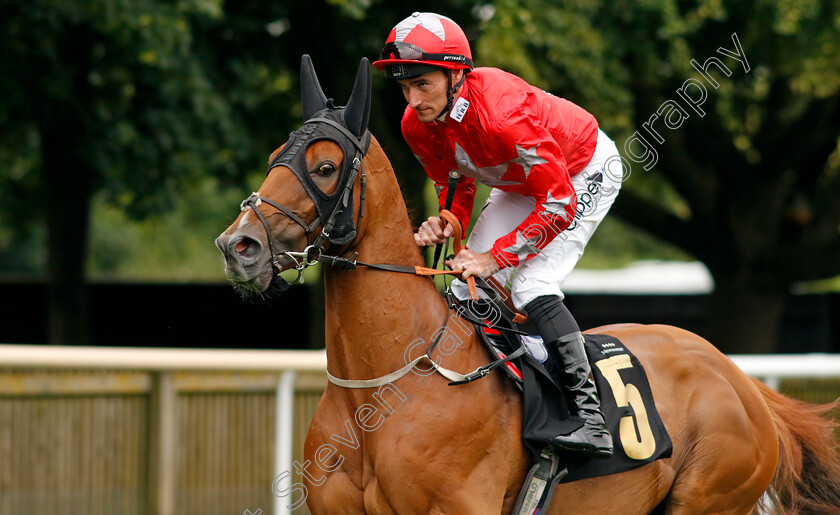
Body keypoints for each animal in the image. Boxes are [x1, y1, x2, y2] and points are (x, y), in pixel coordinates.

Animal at [217, 54, 840, 512]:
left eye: (325, 168)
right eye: (274, 157)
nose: (237, 246)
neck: (385, 387)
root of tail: (743, 382)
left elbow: (551, 203)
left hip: (711, 495)